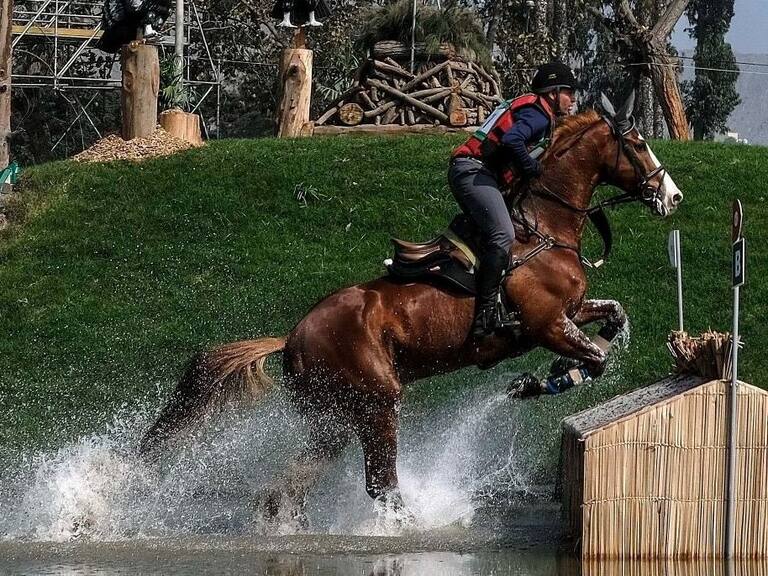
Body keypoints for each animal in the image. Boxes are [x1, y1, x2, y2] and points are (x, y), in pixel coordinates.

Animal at [138, 93, 683, 525]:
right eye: (638, 144)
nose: (672, 196)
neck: (545, 227)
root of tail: (291, 335)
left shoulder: (569, 312)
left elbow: (614, 317)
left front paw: (550, 373)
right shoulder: (545, 322)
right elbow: (597, 357)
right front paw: (543, 380)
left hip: (333, 418)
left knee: (292, 485)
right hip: (376, 403)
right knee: (379, 483)